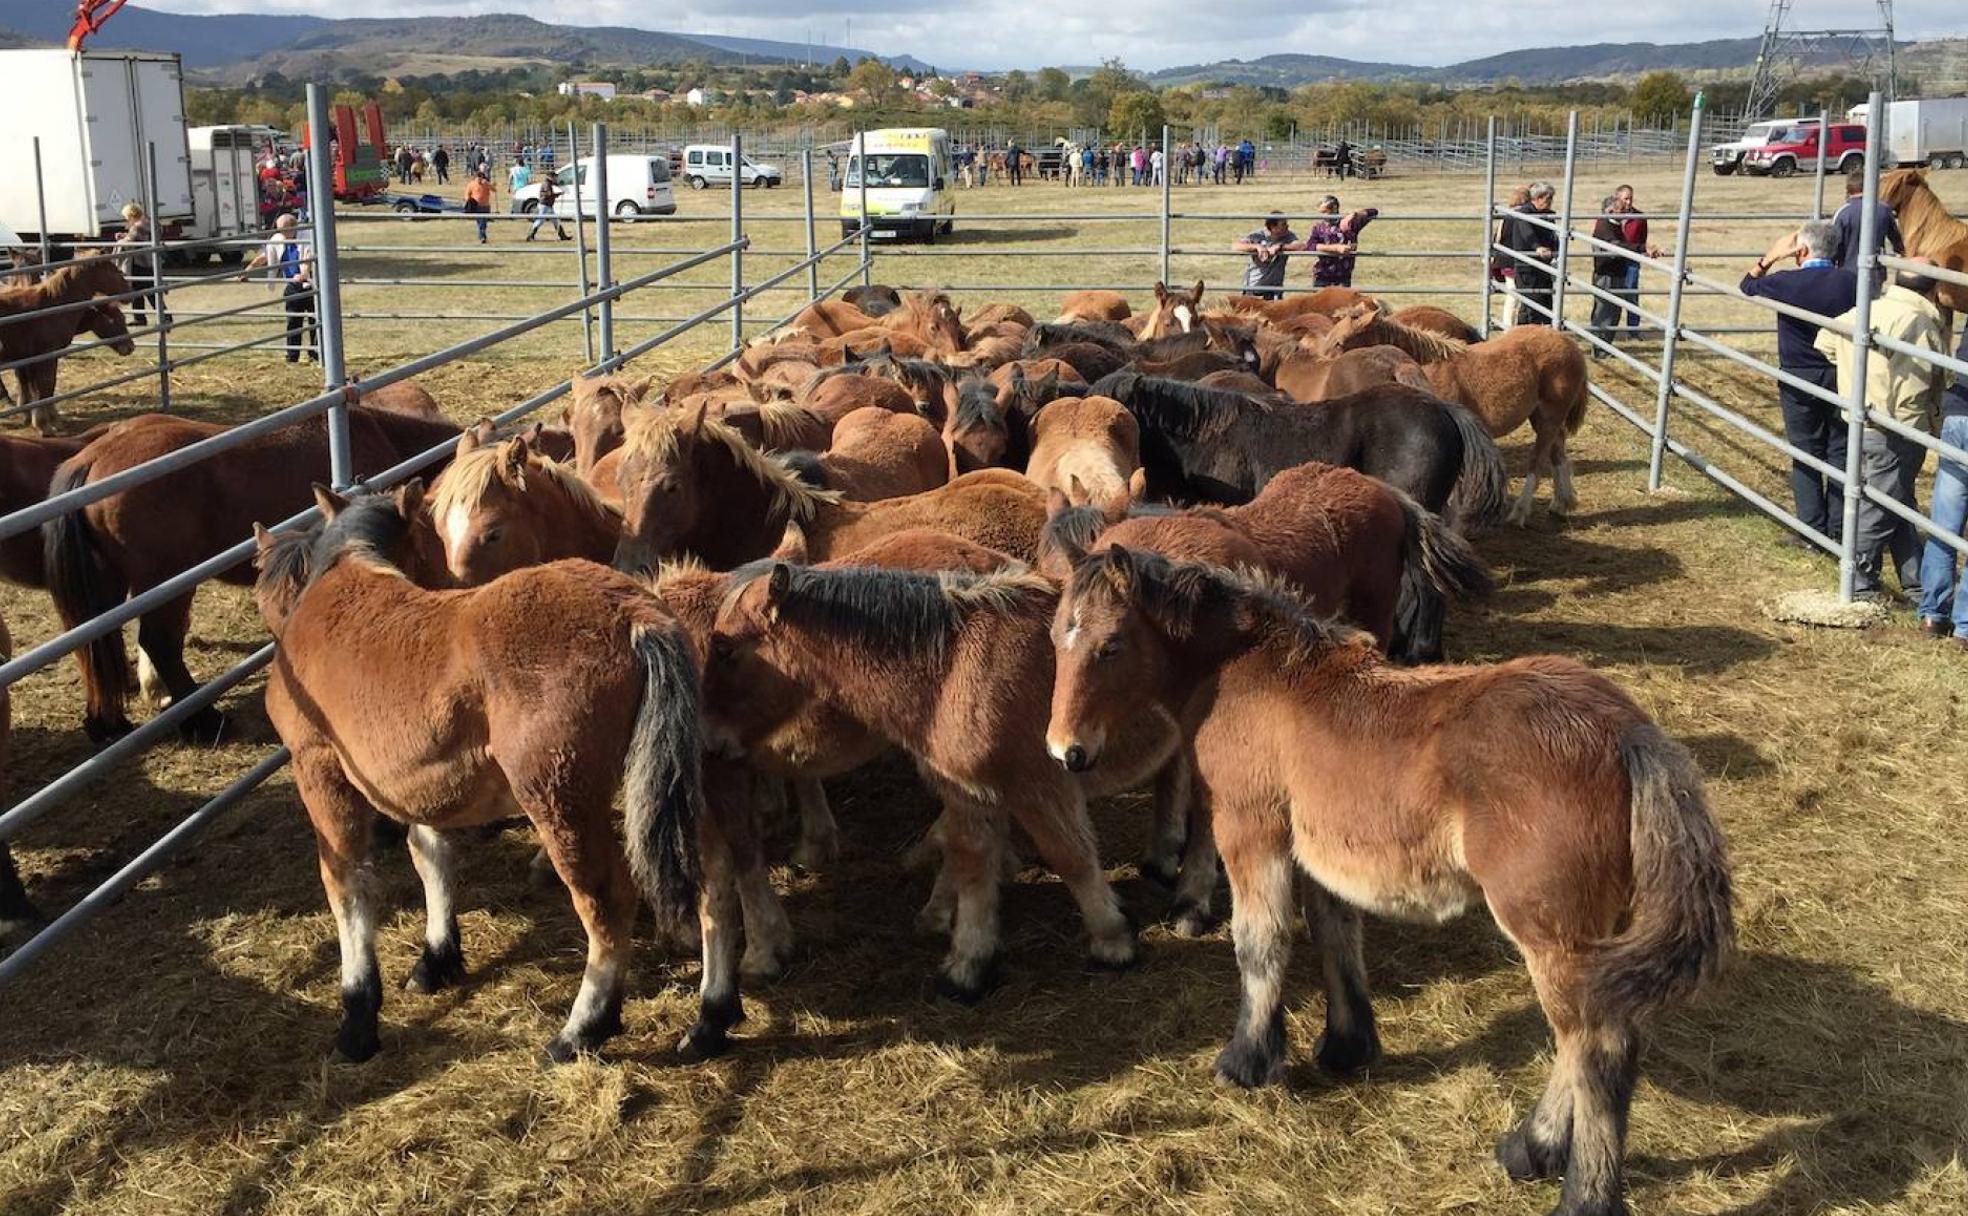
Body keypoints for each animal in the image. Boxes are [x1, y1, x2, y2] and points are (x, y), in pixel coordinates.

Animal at [47, 405, 462, 739]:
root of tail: (93, 458)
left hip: (110, 583)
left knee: (96, 646)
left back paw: (108, 723)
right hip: (166, 582)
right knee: (160, 642)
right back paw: (204, 722)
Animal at [249, 482, 704, 1062]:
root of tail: (632, 613)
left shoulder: (320, 769)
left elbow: (347, 882)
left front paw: (357, 1016)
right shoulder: (417, 780)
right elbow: (431, 857)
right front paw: (436, 959)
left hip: (560, 801)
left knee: (607, 902)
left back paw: (582, 1028)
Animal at [1054, 550, 1731, 1212]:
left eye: (1110, 645)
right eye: (1058, 637)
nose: (1065, 751)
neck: (1249, 671)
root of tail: (1625, 733)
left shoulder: (1252, 832)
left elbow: (1260, 942)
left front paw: (1247, 1060)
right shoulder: (1320, 852)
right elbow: (1335, 933)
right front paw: (1346, 1047)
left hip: (1550, 933)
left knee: (1599, 1049)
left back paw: (1579, 1189)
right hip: (1597, 938)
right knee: (1589, 1037)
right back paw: (1530, 1151)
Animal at [1322, 303, 1582, 519]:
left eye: (1339, 342)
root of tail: (1568, 343)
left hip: (1549, 416)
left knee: (1537, 459)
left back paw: (1519, 513)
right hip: (1541, 417)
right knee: (1558, 450)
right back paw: (1561, 503)